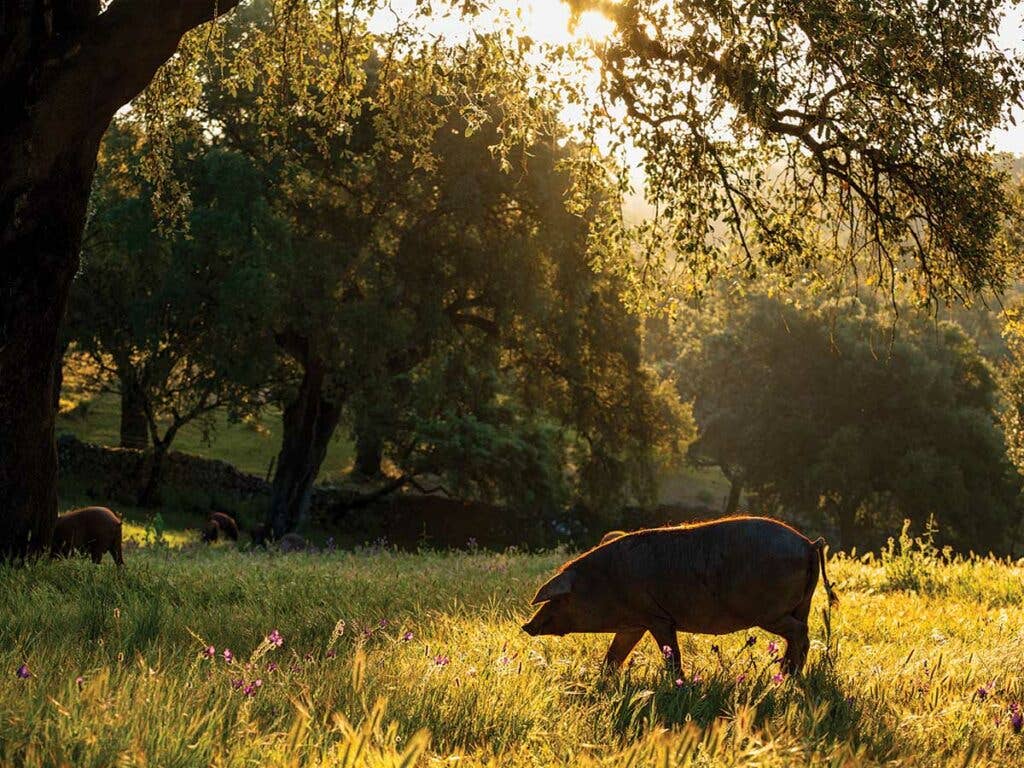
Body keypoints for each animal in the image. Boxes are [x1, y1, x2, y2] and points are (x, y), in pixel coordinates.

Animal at [524, 518, 835, 671]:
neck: (607, 583)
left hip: (770, 612)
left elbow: (671, 656)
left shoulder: (657, 618)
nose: (526, 626)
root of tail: (808, 543)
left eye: (559, 598)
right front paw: (602, 679)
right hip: (802, 604)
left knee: (799, 633)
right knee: (803, 636)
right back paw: (788, 674)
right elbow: (614, 655)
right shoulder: (635, 623)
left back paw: (786, 673)